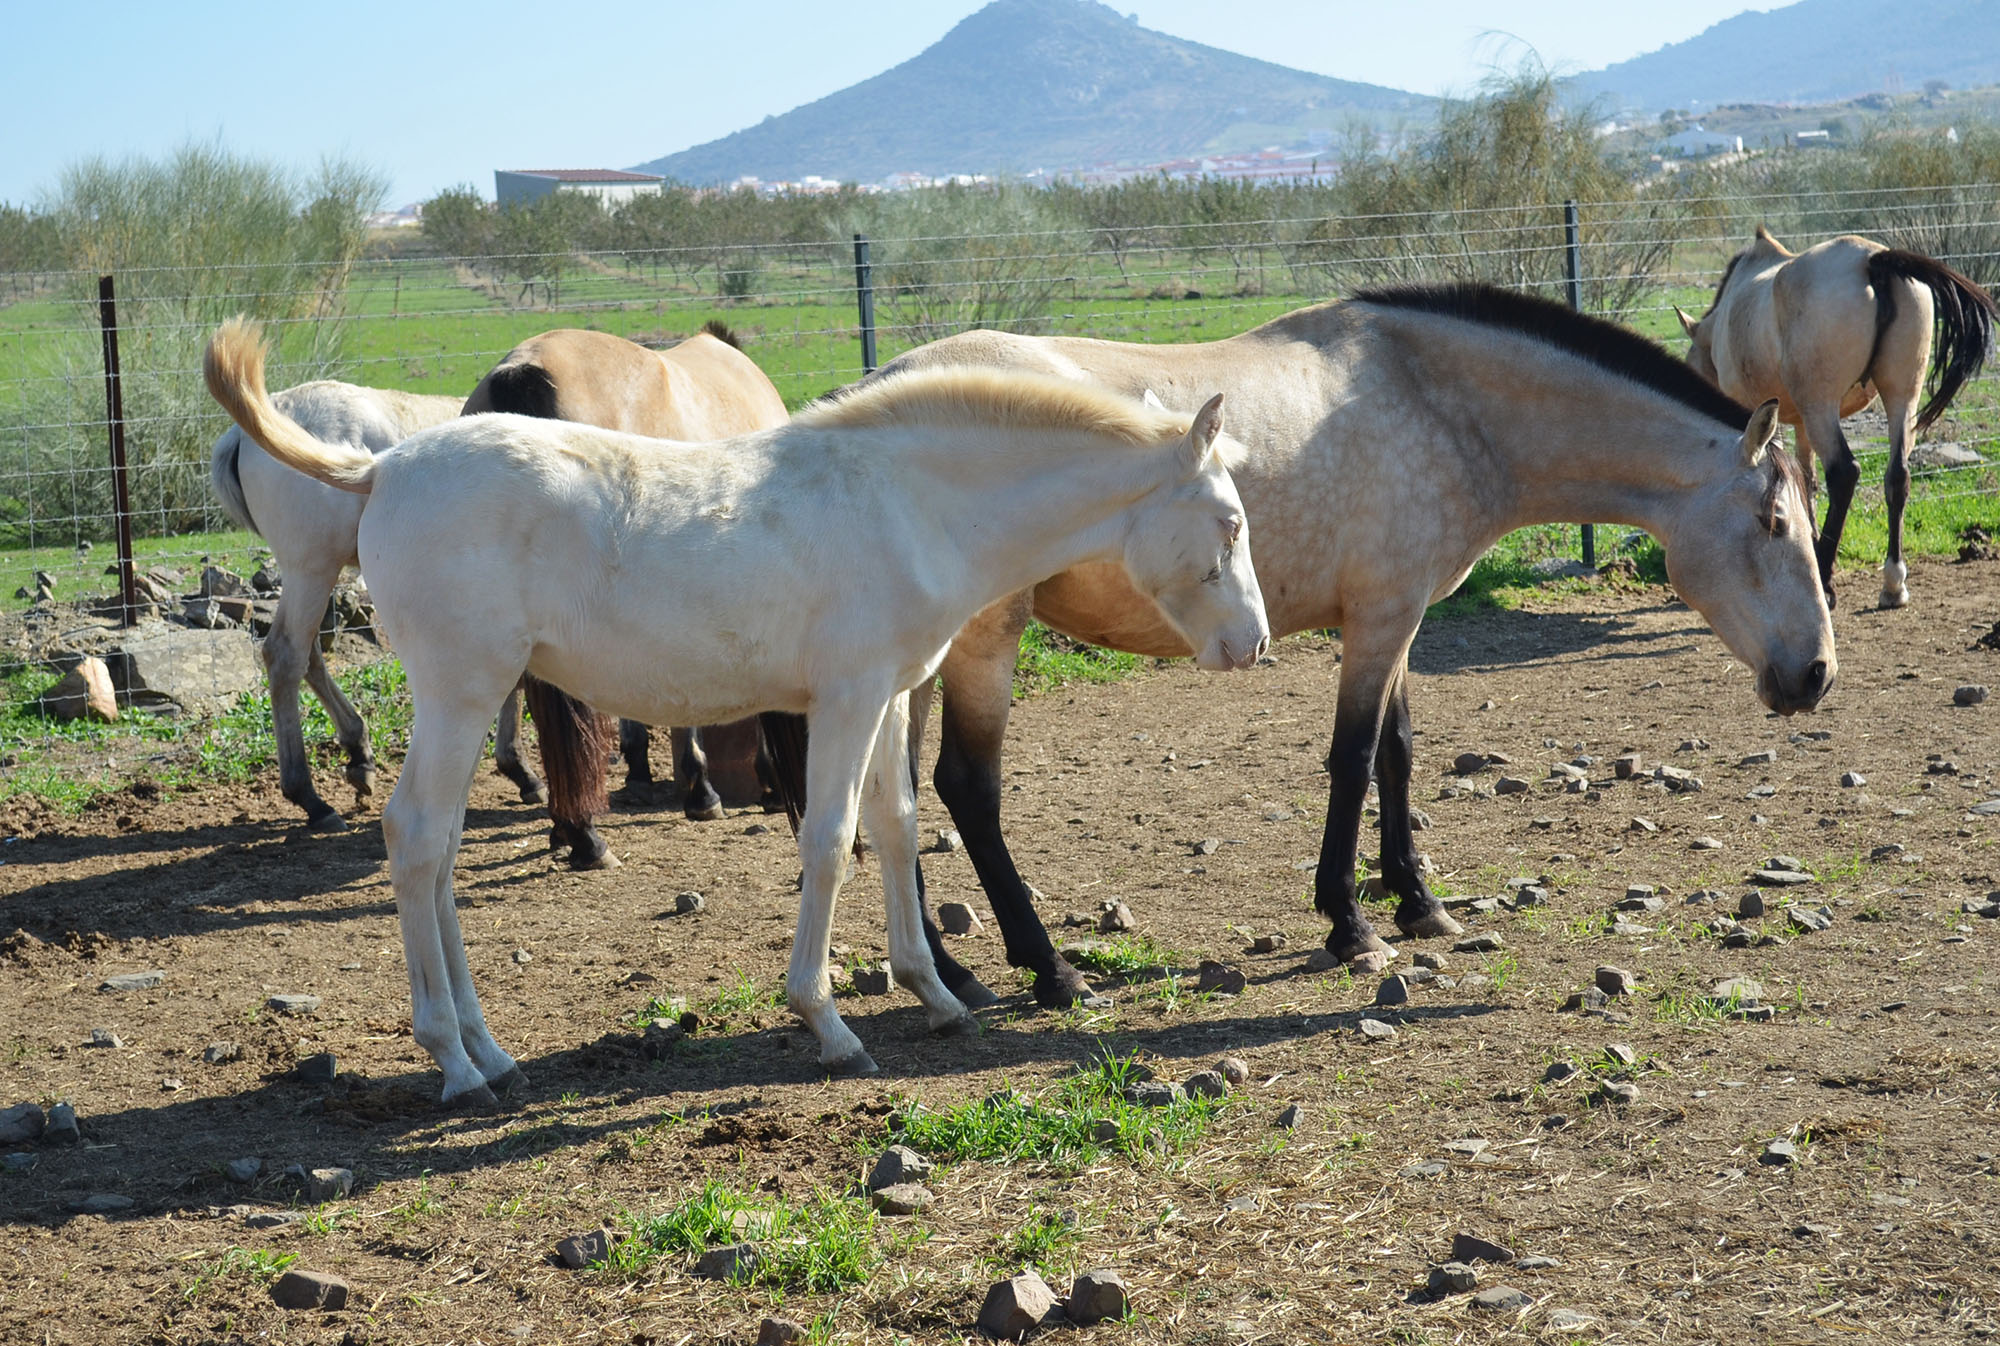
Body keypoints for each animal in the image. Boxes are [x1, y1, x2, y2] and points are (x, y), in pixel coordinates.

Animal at [203, 318, 1264, 1104]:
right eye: (1230, 523)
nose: (1252, 646)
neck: (906, 503)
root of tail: (378, 471)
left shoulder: (886, 696)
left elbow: (896, 824)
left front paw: (935, 993)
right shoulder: (847, 697)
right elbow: (831, 841)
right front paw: (827, 1022)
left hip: (470, 698)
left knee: (440, 848)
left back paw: (490, 1052)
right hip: (460, 691)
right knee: (416, 835)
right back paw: (455, 1061)